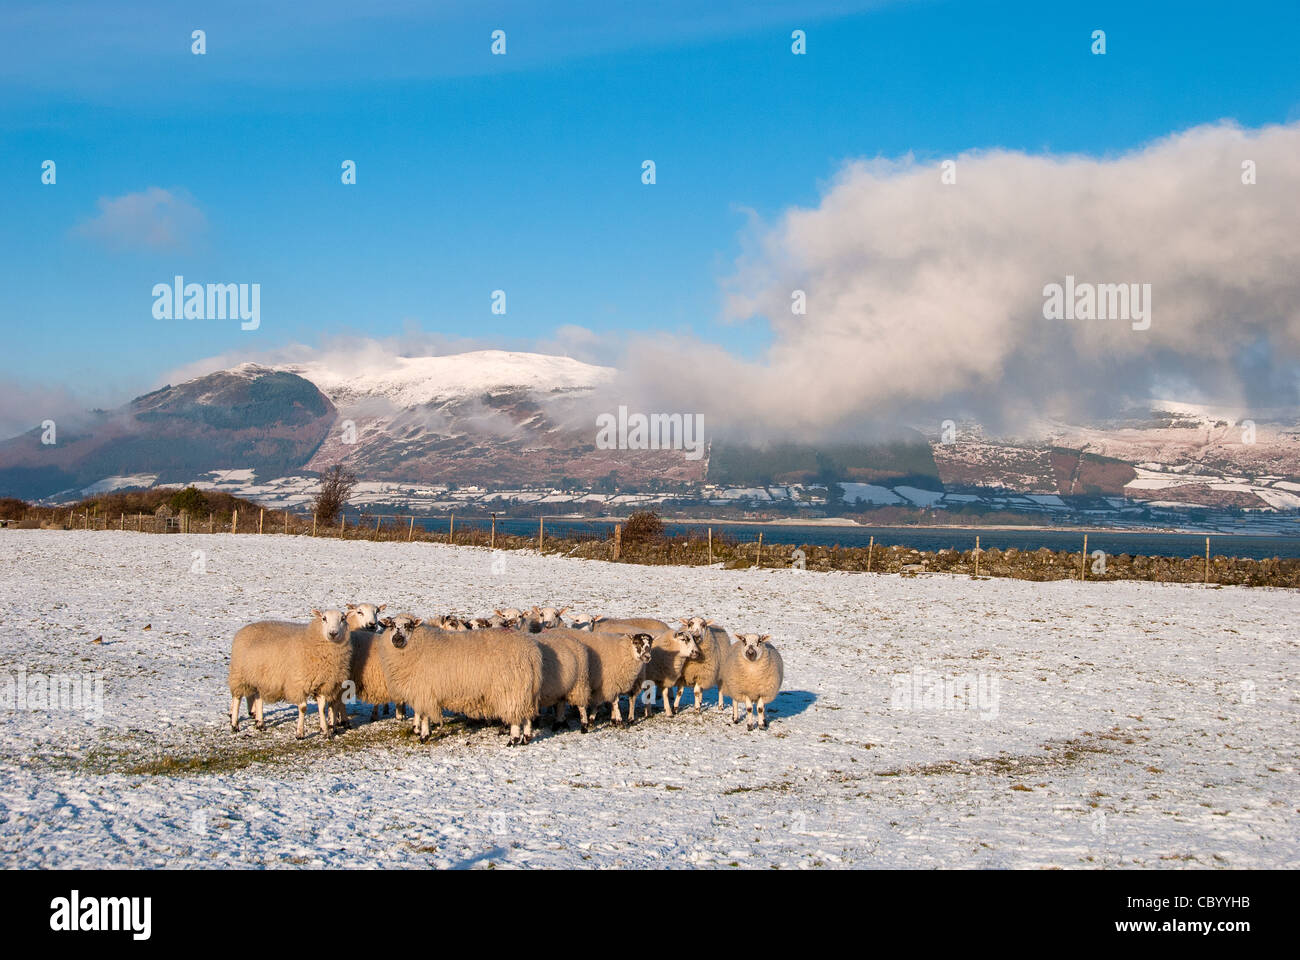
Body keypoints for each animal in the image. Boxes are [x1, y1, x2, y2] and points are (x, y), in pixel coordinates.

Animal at [227, 608, 351, 738]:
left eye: (343, 619)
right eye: (324, 618)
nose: (333, 633)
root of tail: (243, 629)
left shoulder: (323, 684)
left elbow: (321, 708)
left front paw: (325, 731)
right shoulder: (297, 684)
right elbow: (303, 708)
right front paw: (300, 733)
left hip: (260, 677)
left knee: (258, 697)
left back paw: (260, 724)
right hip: (239, 675)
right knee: (237, 697)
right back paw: (235, 725)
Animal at [374, 616, 540, 744]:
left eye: (408, 626)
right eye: (392, 625)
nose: (397, 639)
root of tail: (531, 651)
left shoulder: (425, 690)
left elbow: (425, 715)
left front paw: (424, 735)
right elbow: (420, 712)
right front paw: (419, 729)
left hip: (511, 689)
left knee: (516, 716)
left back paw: (513, 739)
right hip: (525, 689)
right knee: (527, 715)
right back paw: (526, 738)